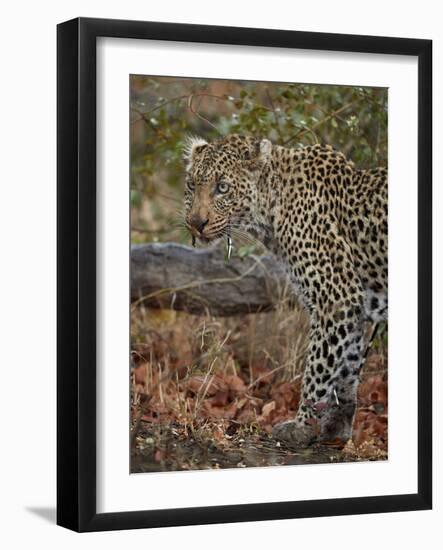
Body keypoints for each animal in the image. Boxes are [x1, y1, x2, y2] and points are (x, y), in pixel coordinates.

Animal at [182, 134, 386, 448]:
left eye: (222, 187)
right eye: (192, 185)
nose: (196, 223)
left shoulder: (335, 298)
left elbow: (318, 366)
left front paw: (301, 427)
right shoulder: (352, 306)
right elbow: (346, 367)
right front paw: (336, 429)